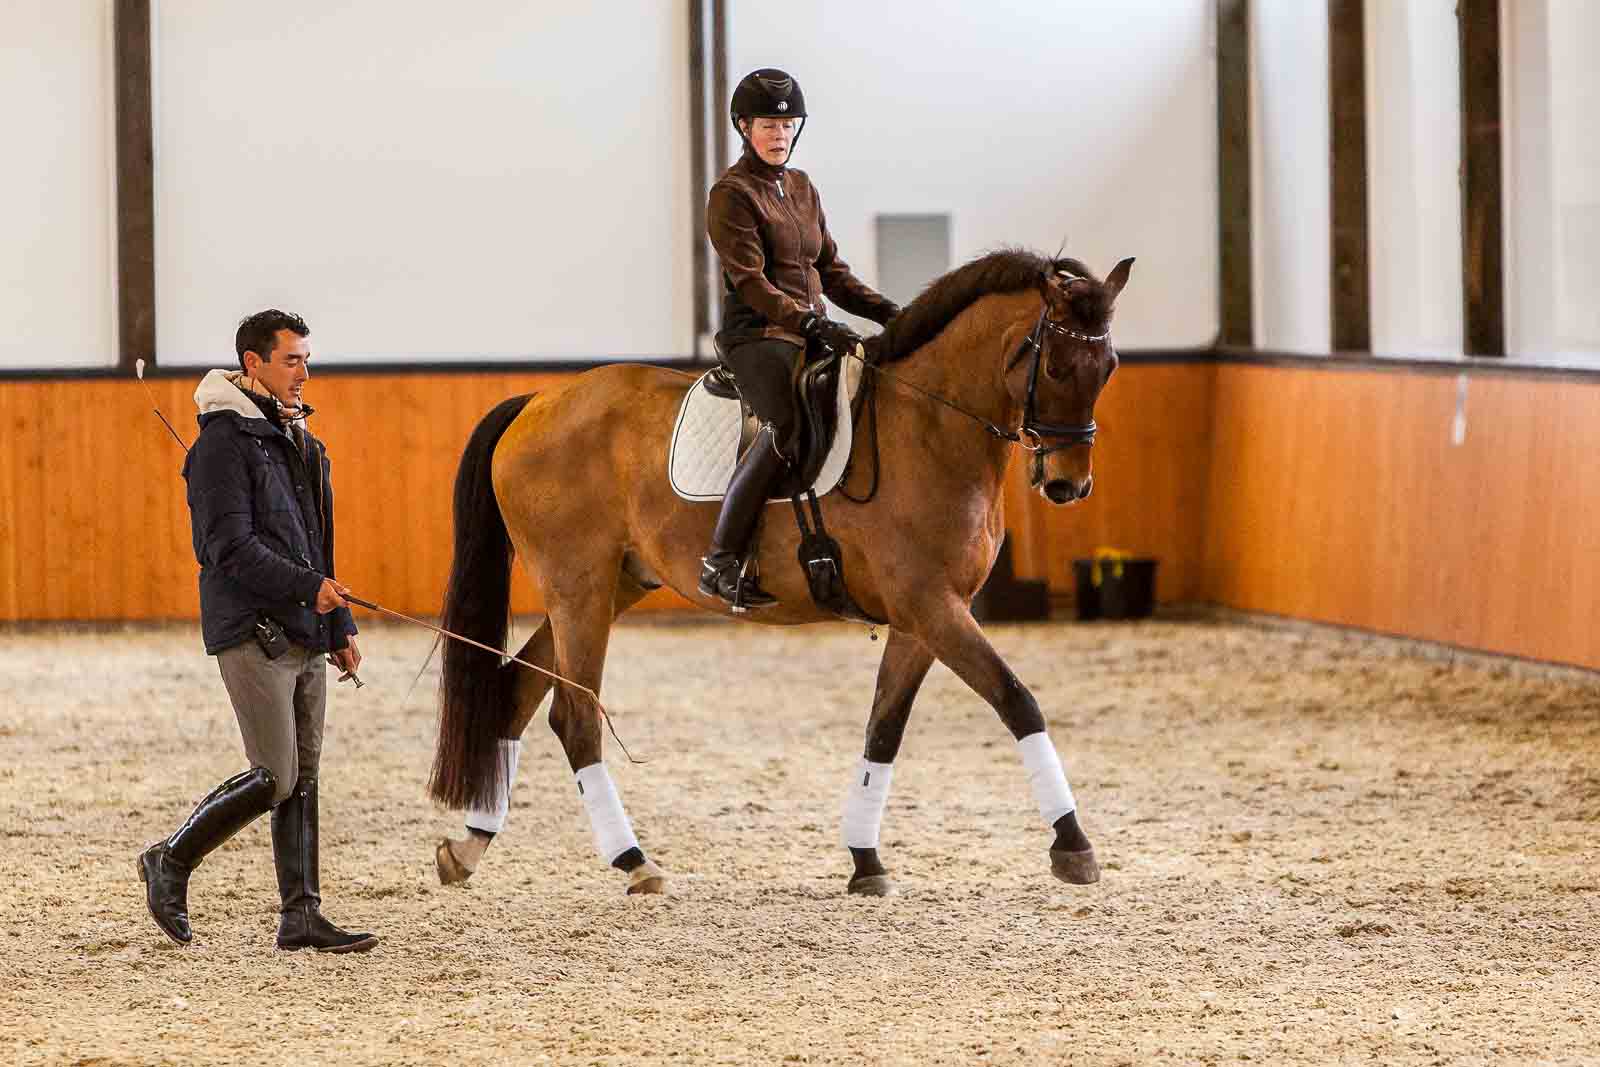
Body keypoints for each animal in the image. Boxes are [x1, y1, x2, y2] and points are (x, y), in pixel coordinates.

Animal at [432, 254, 1132, 895]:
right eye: (1057, 366)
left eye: (1110, 368)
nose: (1067, 485)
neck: (930, 425)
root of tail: (538, 402)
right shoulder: (933, 606)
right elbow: (1017, 701)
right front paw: (1073, 846)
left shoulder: (922, 618)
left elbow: (884, 731)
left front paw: (865, 862)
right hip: (578, 588)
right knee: (574, 716)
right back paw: (633, 862)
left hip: (606, 587)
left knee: (519, 691)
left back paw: (468, 847)